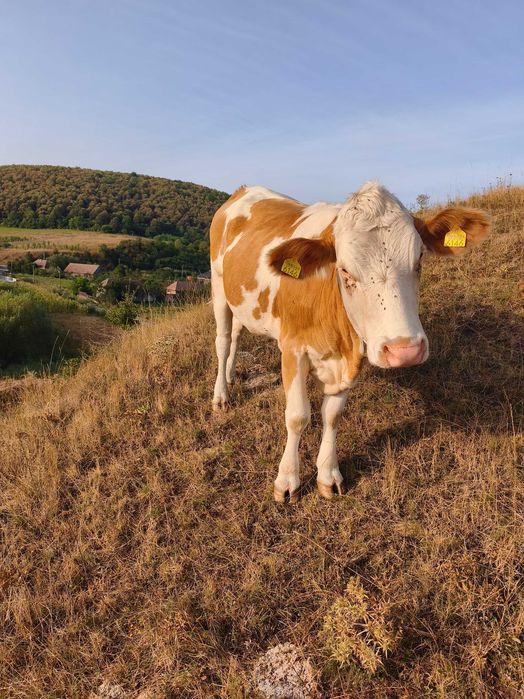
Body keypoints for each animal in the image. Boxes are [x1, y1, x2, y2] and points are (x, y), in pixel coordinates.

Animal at [209, 182, 490, 502]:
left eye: (419, 259)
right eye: (344, 269)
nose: (404, 350)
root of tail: (244, 190)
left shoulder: (350, 356)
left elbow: (332, 415)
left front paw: (328, 476)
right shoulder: (292, 349)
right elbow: (297, 416)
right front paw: (287, 480)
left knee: (237, 333)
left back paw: (231, 375)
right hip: (218, 286)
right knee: (223, 339)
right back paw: (221, 395)